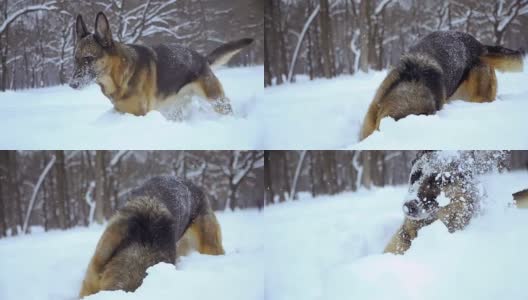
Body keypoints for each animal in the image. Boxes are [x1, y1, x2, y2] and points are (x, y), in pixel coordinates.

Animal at [70, 12, 254, 118]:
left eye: (88, 59)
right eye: (75, 59)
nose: (72, 85)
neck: (120, 75)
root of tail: (202, 58)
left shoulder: (139, 114)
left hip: (217, 102)